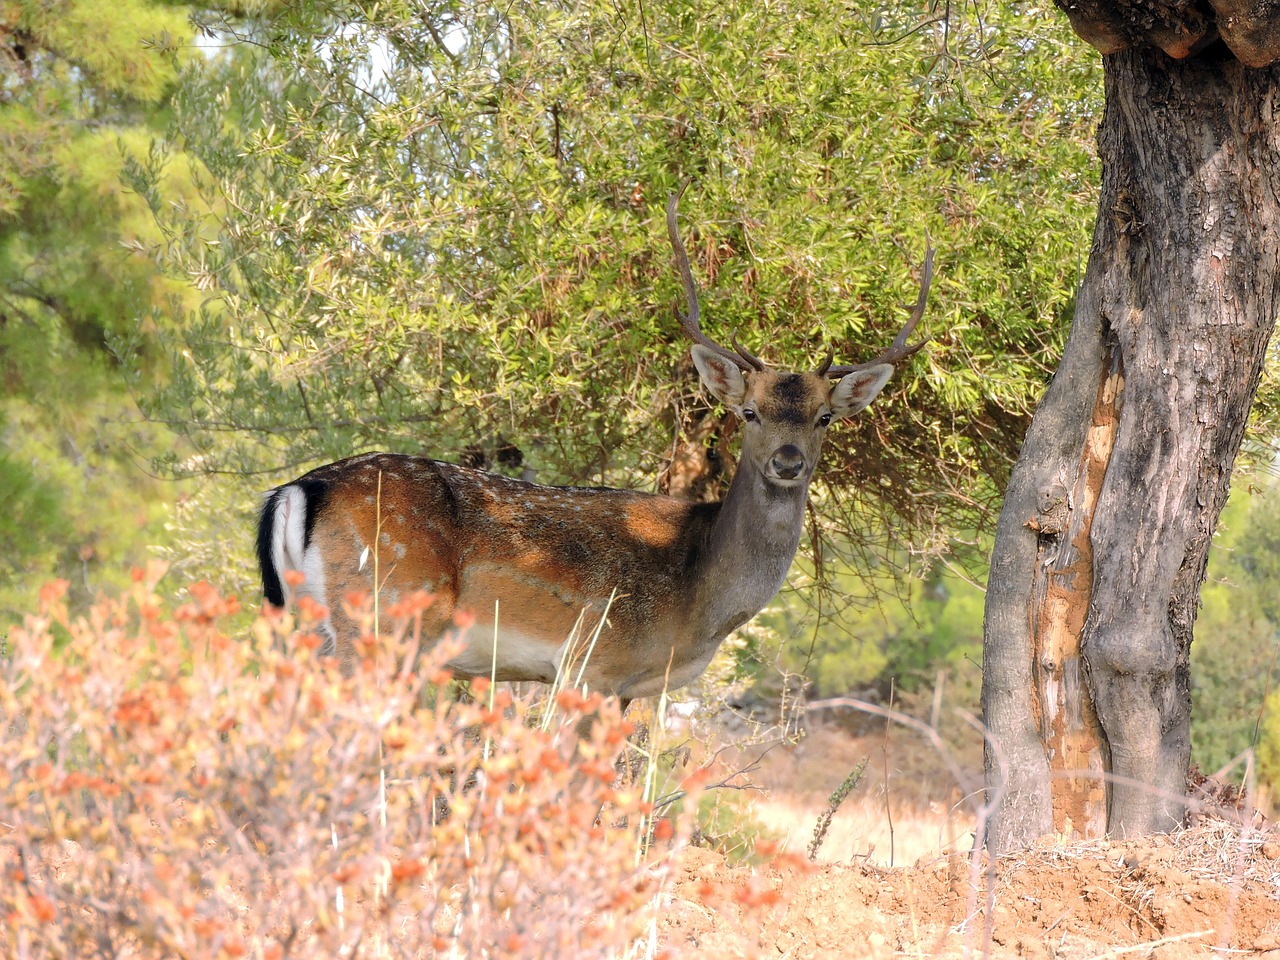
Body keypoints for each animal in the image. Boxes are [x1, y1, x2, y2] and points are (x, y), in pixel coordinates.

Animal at [254, 192, 936, 721]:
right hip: (382, 621)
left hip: (301, 625)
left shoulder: (628, 688)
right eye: (749, 412)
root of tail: (296, 492)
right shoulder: (592, 665)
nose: (789, 461)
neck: (698, 601)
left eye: (824, 417)